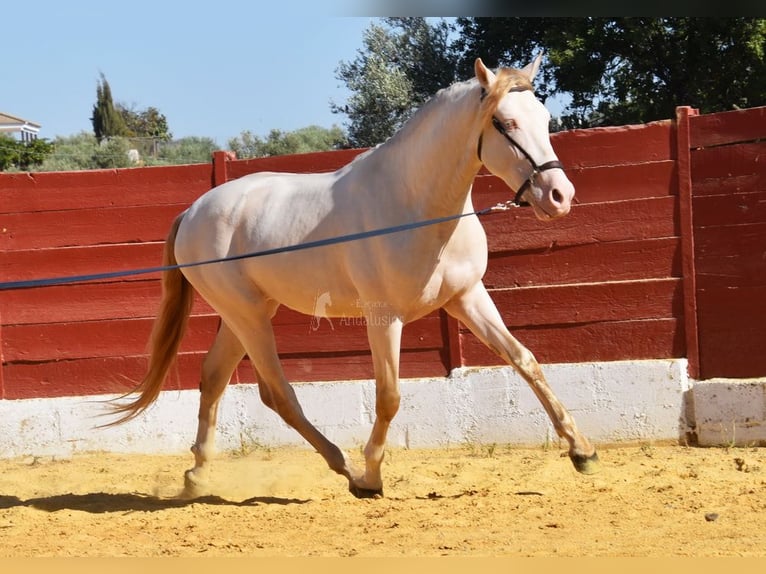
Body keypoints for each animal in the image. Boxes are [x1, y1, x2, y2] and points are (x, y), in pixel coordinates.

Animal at [109, 55, 599, 498]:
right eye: (503, 122)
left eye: (544, 118)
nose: (559, 195)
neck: (412, 205)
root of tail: (193, 212)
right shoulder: (384, 318)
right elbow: (389, 395)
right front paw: (373, 475)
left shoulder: (467, 298)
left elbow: (526, 360)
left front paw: (583, 452)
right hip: (247, 316)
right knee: (277, 393)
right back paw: (345, 470)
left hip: (245, 314)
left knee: (213, 378)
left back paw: (196, 476)